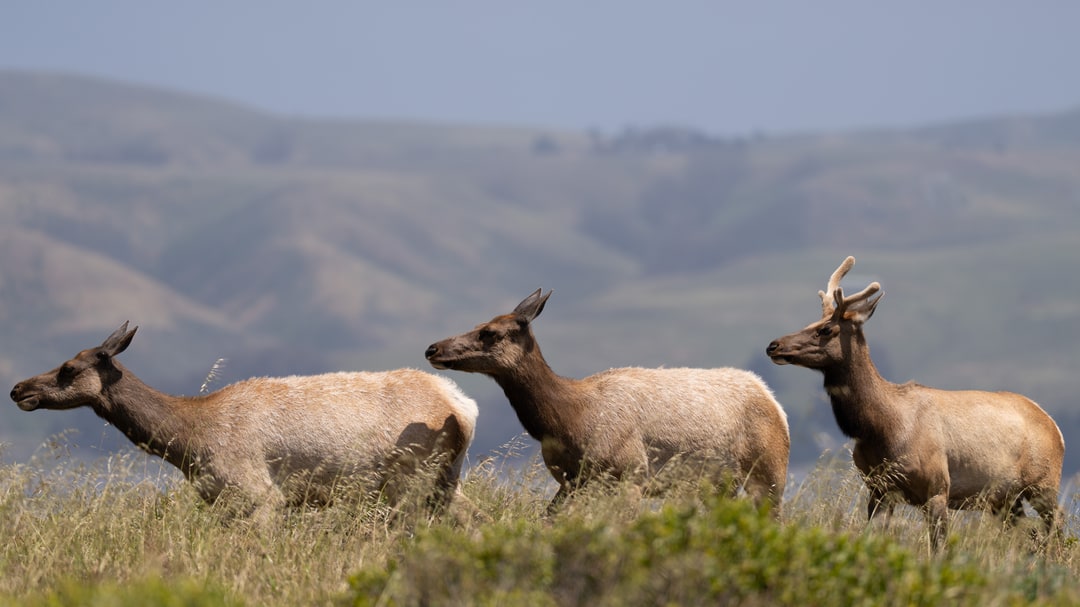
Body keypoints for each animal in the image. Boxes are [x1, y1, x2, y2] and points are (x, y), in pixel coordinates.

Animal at [10, 322, 479, 521]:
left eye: (68, 368)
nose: (18, 389)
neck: (189, 444)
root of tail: (463, 408)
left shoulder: (260, 495)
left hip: (409, 480)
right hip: (445, 480)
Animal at [425, 289, 790, 513]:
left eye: (489, 332)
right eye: (478, 323)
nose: (432, 348)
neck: (569, 421)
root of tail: (775, 404)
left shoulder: (630, 474)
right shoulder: (571, 481)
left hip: (770, 471)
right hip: (718, 485)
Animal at [766, 256, 1064, 549]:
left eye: (826, 329)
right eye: (809, 324)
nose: (773, 345)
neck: (882, 429)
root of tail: (1054, 426)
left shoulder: (937, 487)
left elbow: (939, 549)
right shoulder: (879, 489)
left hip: (1044, 482)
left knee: (1057, 524)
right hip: (1005, 498)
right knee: (1030, 534)